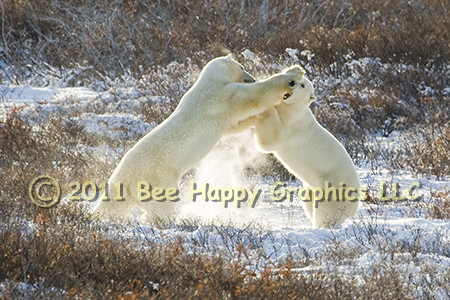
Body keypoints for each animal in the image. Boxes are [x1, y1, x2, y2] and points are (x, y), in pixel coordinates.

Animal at [92, 55, 304, 221]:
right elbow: (250, 97)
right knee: (161, 205)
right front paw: (291, 77)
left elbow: (234, 125)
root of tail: (122, 180)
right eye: (242, 67)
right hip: (157, 178)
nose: (251, 78)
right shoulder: (219, 97)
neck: (209, 81)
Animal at [237, 68, 360, 227]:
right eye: (296, 81)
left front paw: (267, 108)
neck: (293, 108)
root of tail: (356, 204)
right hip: (310, 187)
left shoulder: (291, 125)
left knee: (326, 213)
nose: (291, 83)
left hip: (333, 187)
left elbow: (271, 141)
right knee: (309, 204)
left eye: (302, 85)